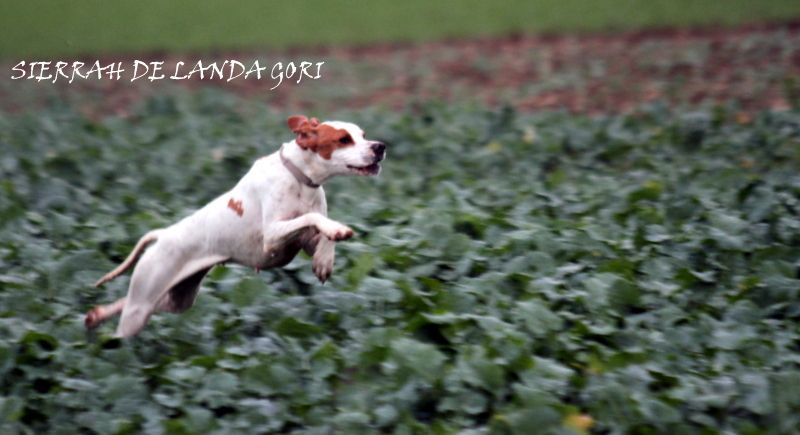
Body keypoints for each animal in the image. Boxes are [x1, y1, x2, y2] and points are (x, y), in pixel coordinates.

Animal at [86, 115, 386, 338]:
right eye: (344, 139)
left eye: (363, 134)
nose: (380, 146)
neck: (300, 178)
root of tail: (163, 235)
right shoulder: (272, 237)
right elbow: (311, 218)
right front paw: (336, 230)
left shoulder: (302, 242)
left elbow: (321, 232)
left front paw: (325, 259)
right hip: (141, 306)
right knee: (125, 323)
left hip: (179, 298)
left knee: (141, 303)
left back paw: (96, 315)